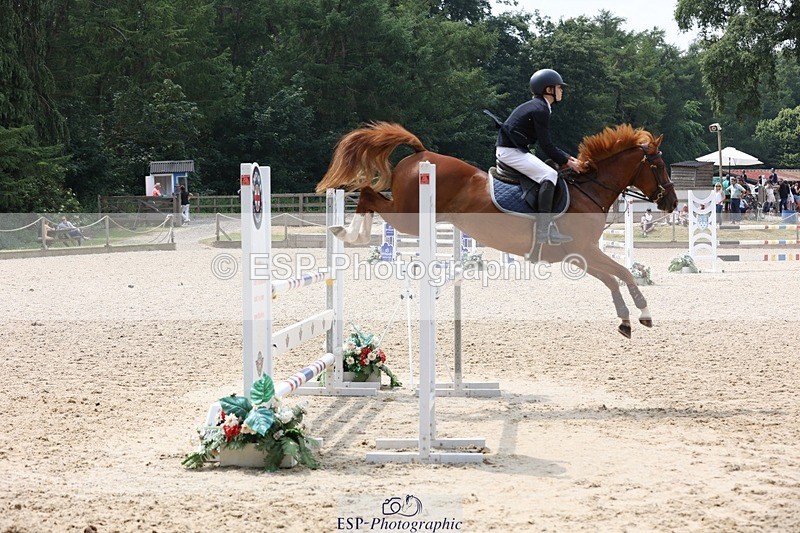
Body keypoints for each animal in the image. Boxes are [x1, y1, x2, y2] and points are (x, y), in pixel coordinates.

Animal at [316, 122, 678, 337]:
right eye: (660, 166)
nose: (672, 202)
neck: (589, 188)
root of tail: (421, 152)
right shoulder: (585, 250)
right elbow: (625, 273)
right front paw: (644, 313)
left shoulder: (579, 255)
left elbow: (612, 279)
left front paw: (626, 320)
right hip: (409, 216)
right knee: (367, 195)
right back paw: (351, 233)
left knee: (369, 196)